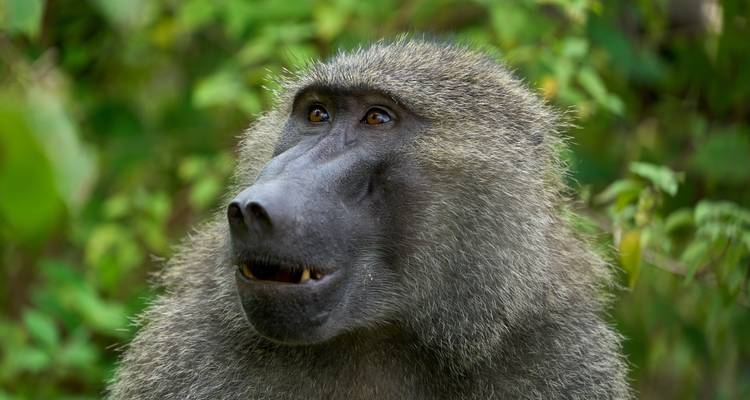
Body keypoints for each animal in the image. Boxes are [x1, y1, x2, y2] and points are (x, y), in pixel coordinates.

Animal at [108, 39, 631, 399]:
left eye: (378, 118)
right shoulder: (192, 342)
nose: (251, 210)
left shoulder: (559, 355)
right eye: (317, 114)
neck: (378, 335)